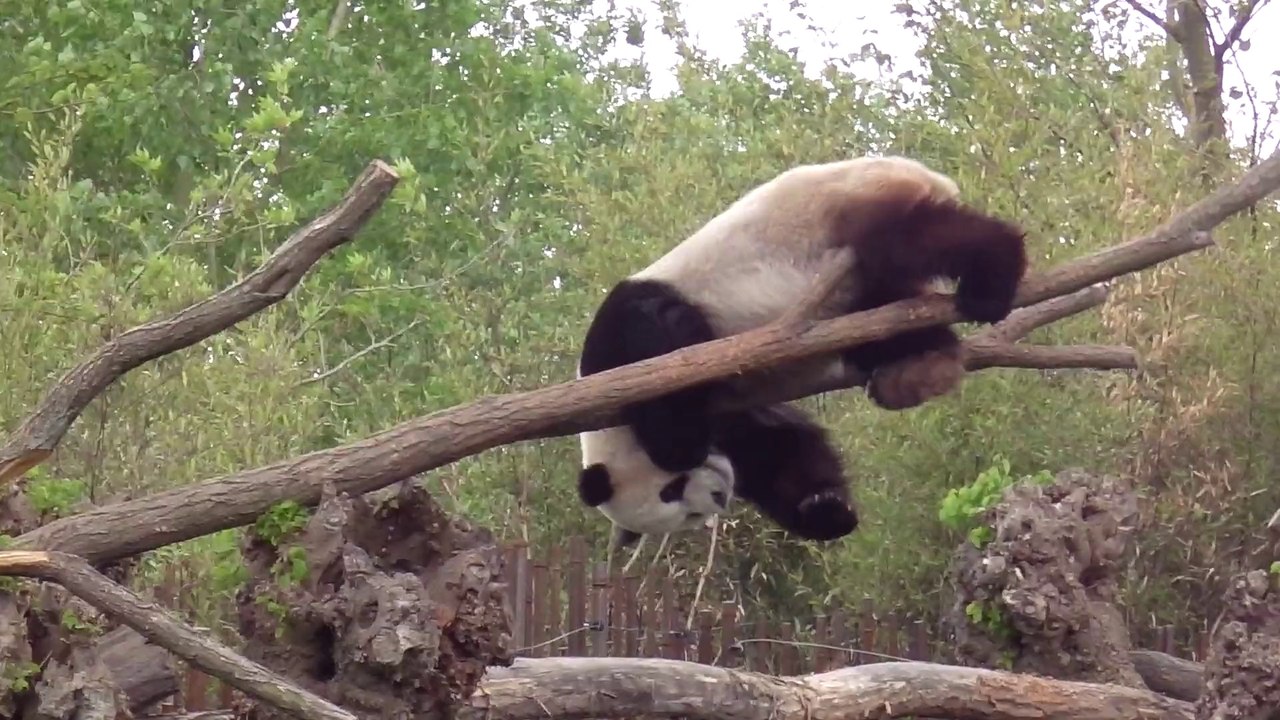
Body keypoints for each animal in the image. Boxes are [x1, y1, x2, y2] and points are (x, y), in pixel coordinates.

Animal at [574, 155, 1028, 547]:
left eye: (673, 488)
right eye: (685, 512)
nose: (719, 497)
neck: (610, 426)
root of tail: (915, 170)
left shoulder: (631, 338)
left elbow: (672, 380)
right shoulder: (731, 415)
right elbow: (776, 448)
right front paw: (825, 511)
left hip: (847, 216)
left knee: (914, 240)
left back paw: (989, 284)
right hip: (852, 290)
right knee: (885, 313)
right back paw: (916, 370)